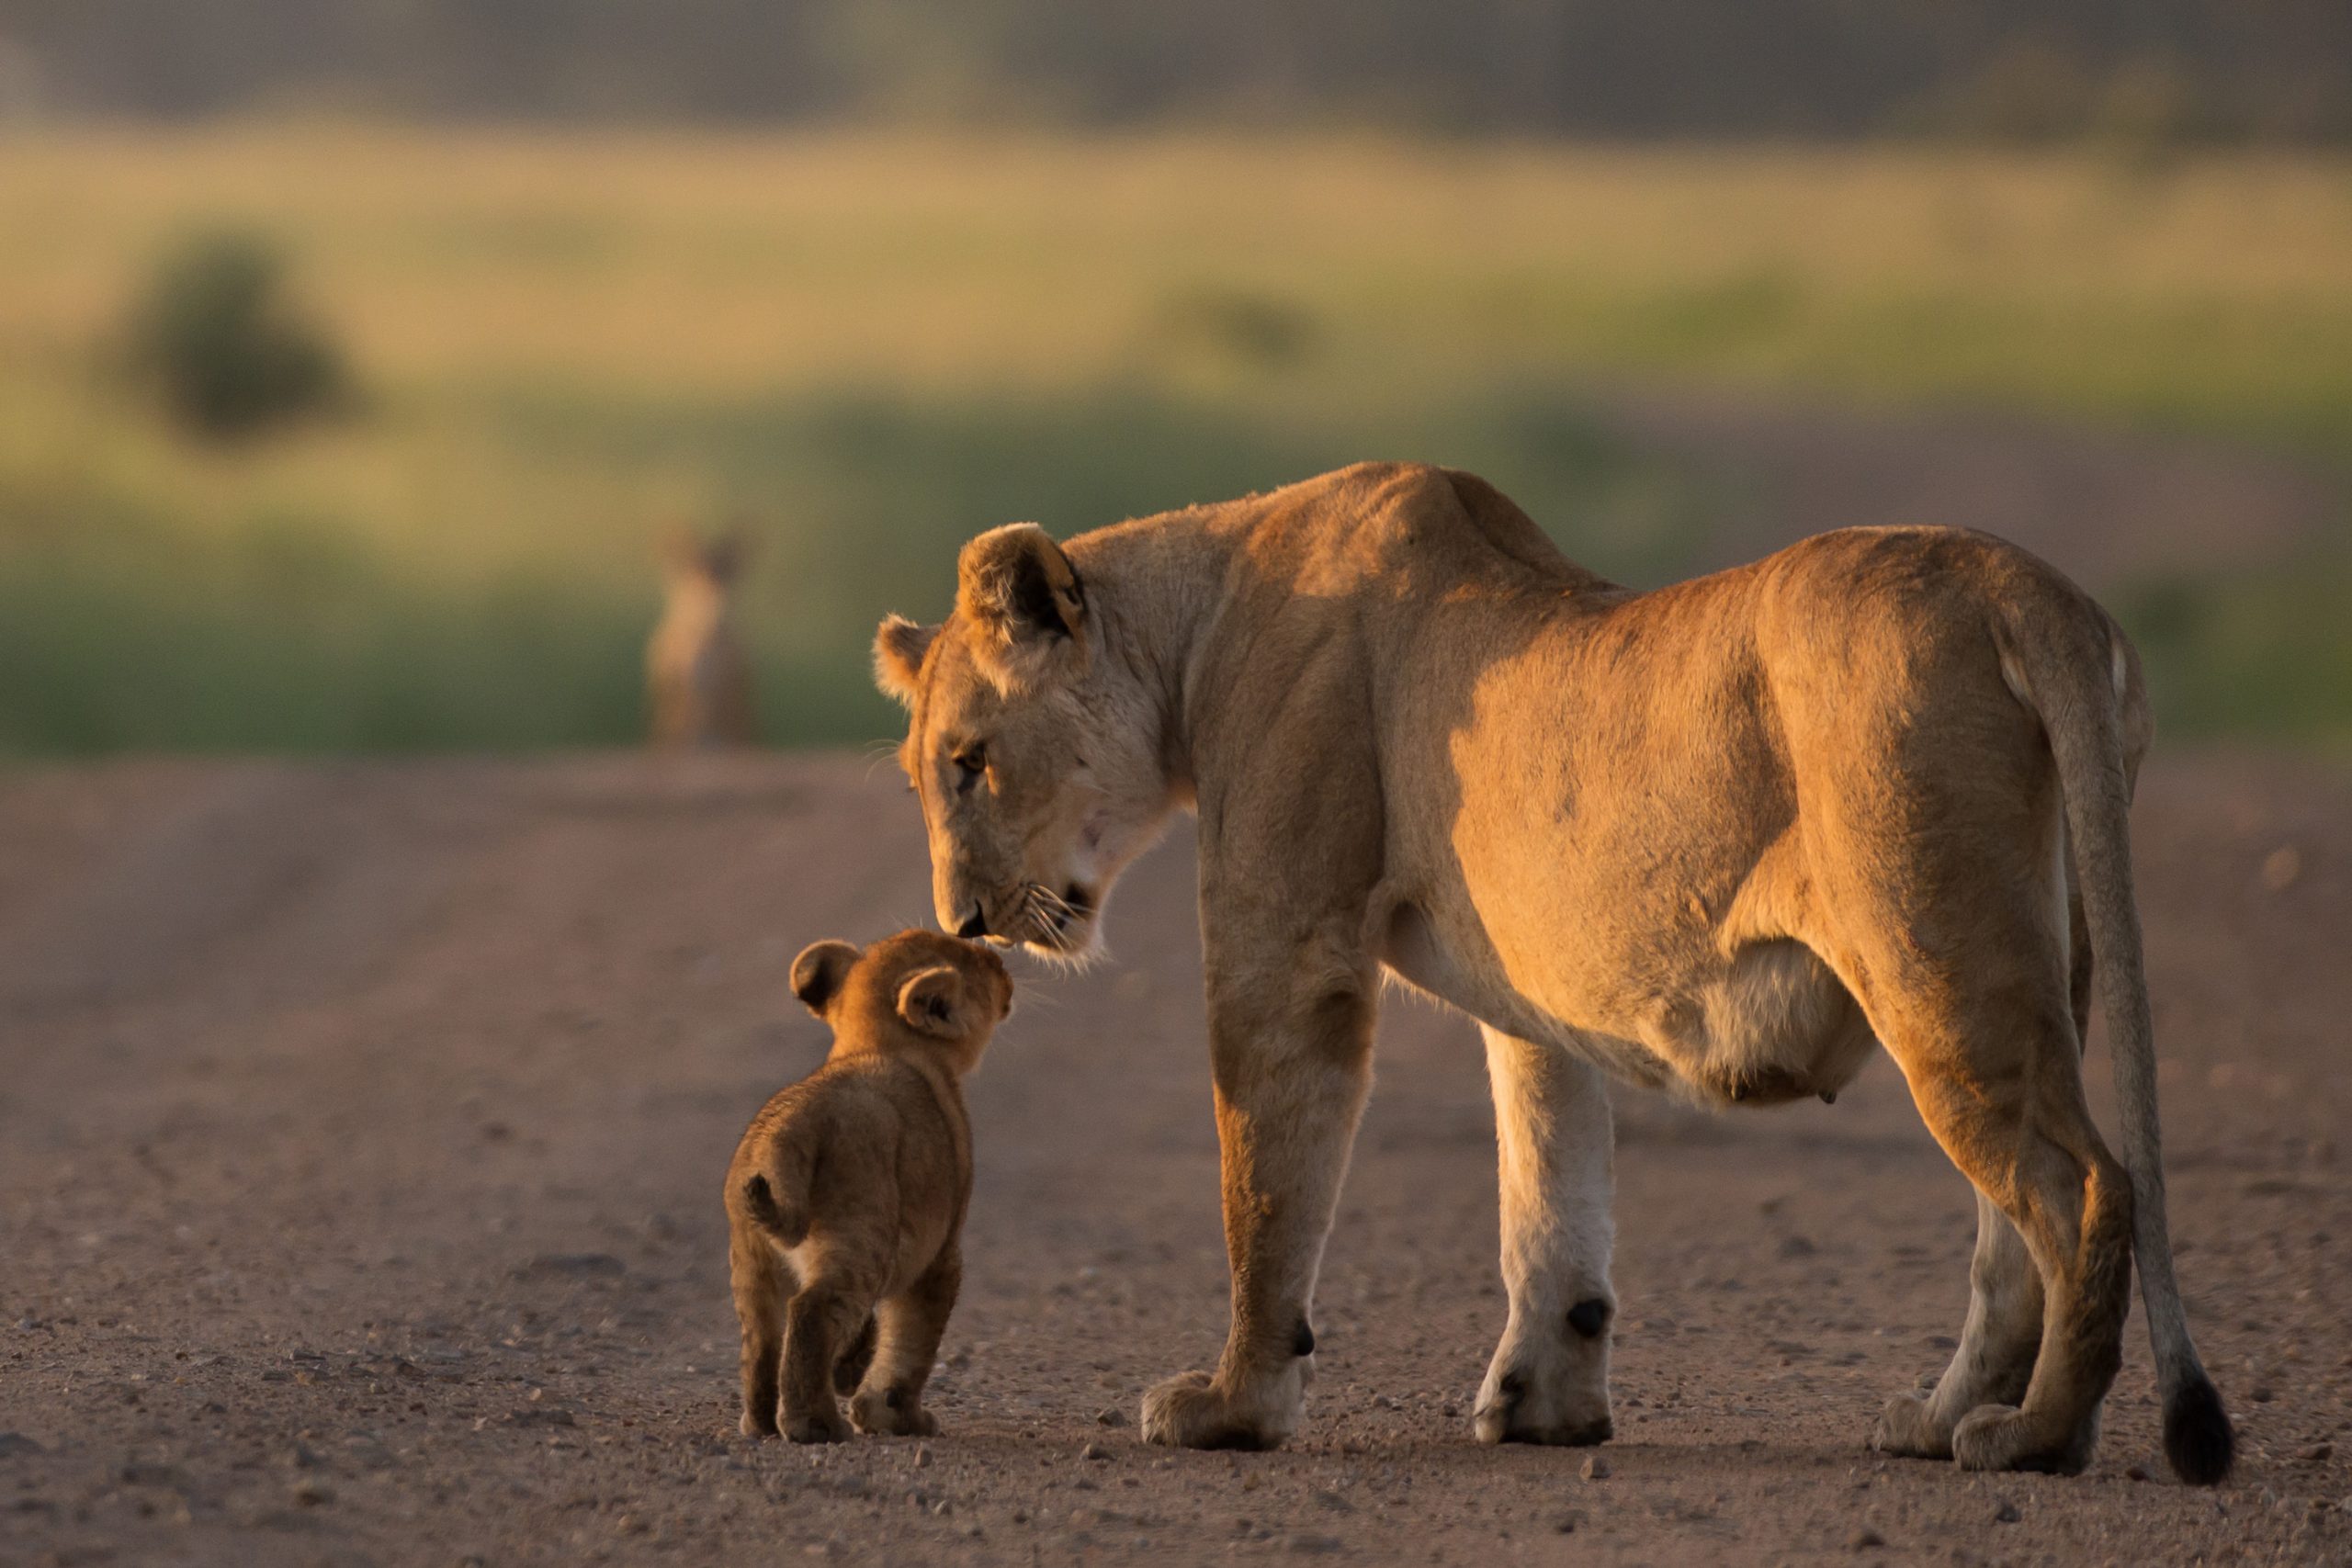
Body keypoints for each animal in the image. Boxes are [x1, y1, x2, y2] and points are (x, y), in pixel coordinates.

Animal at [725, 929, 1012, 1443]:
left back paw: (760, 1423)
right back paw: (815, 1424)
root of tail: (786, 1130)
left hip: (750, 1254)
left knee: (762, 1337)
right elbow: (913, 1337)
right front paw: (896, 1416)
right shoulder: (940, 1251)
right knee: (813, 1310)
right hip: (863, 1232)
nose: (1000, 960)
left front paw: (851, 1370)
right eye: (978, 962)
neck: (877, 1043)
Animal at [870, 461, 2233, 1483]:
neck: (1196, 629)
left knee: (2084, 1188)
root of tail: (2020, 584)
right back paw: (1938, 1418)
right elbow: (1548, 1187)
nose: (966, 917)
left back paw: (2037, 1436)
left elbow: (1264, 1181)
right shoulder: (1536, 996)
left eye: (969, 761)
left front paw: (1232, 1405)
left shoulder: (1285, 942)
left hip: (1933, 957)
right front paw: (1546, 1403)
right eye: (926, 772)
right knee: (2013, 1228)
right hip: (2041, 964)